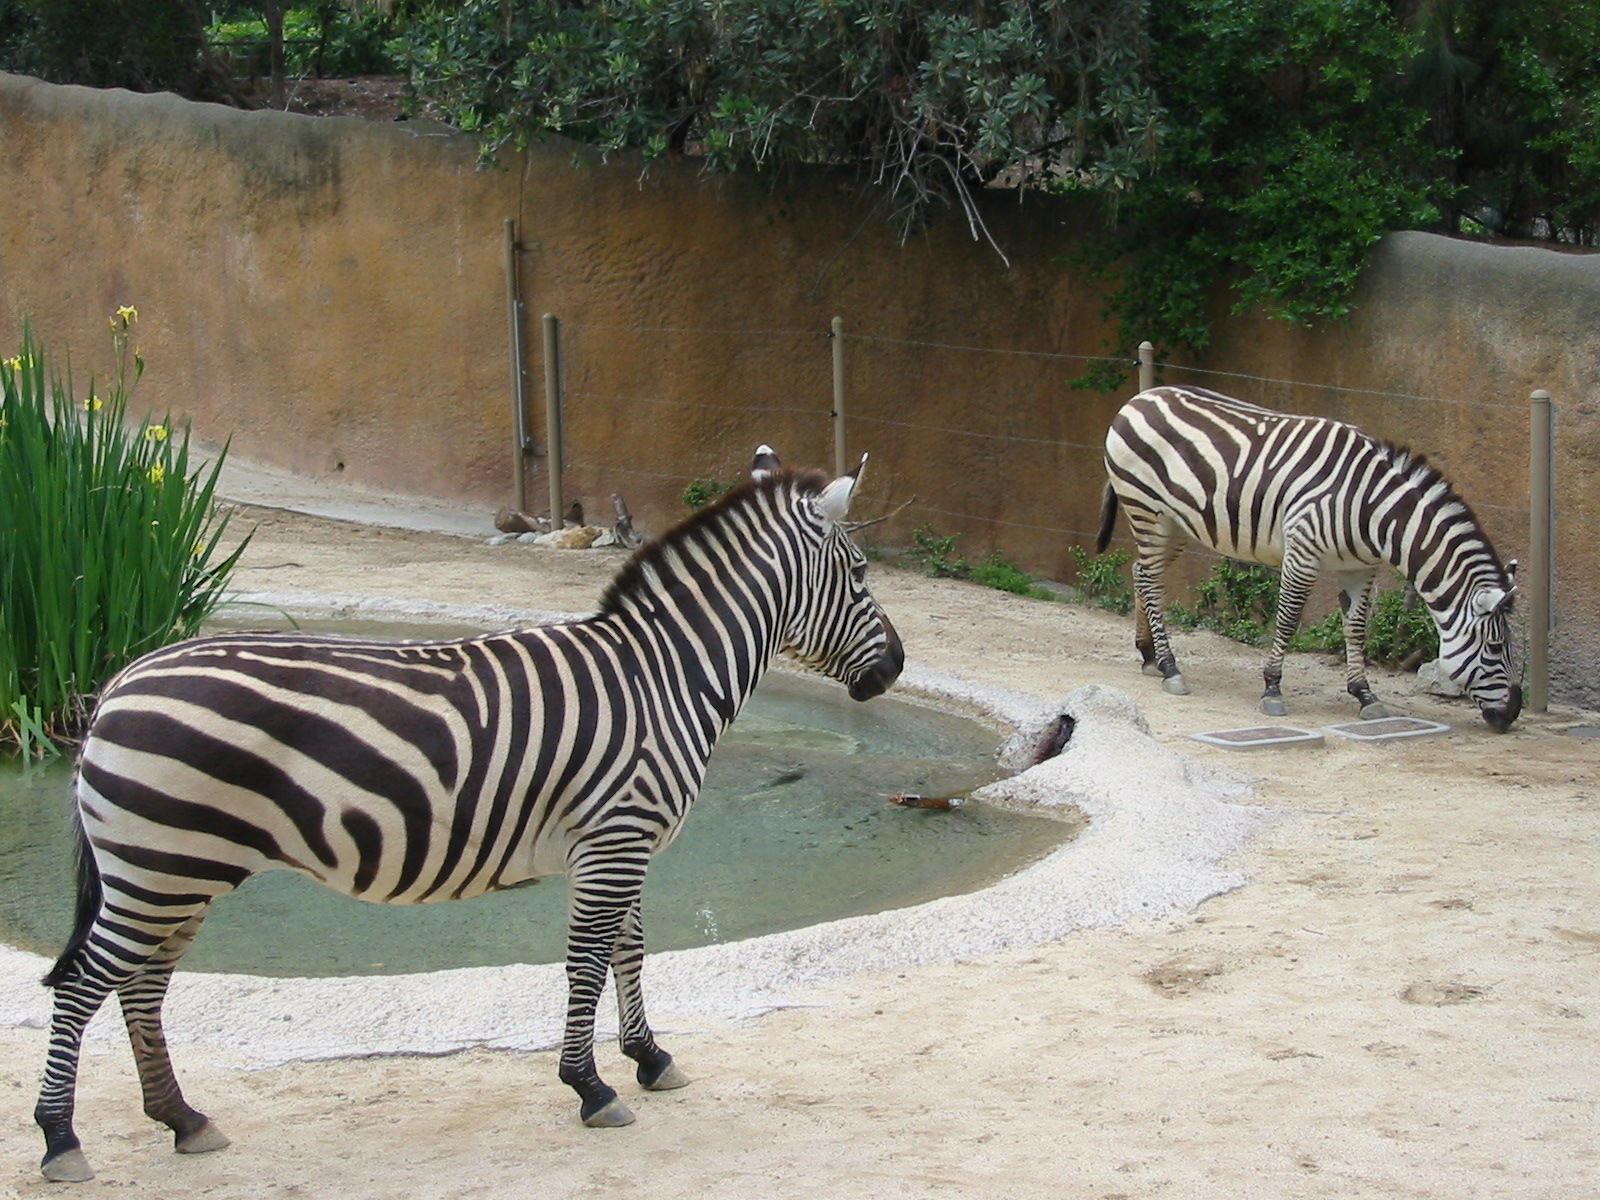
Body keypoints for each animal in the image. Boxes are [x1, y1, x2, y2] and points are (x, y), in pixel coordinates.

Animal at [33, 450, 903, 1183]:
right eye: (860, 573)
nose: (895, 667)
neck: (665, 675)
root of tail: (115, 685)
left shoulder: (619, 840)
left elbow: (630, 951)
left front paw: (649, 1059)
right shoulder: (616, 839)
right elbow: (588, 961)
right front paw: (590, 1087)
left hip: (176, 870)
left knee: (141, 986)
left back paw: (181, 1118)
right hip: (161, 867)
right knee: (82, 983)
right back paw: (62, 1139)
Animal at [1097, 385, 1522, 731]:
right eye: (1496, 648)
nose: (1514, 713)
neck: (1375, 510)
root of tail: (1140, 398)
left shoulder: (1361, 568)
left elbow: (1356, 628)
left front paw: (1364, 694)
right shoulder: (1302, 553)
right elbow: (1288, 619)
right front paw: (1272, 688)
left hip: (1175, 524)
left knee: (1140, 572)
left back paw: (1149, 655)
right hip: (1147, 511)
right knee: (1152, 582)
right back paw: (1170, 667)